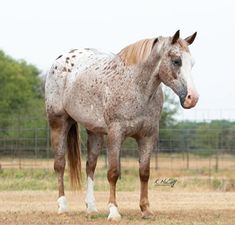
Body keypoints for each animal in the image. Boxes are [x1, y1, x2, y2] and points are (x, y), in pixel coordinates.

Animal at [44, 30, 198, 221]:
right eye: (176, 61)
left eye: (192, 63)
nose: (192, 98)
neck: (136, 87)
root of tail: (60, 59)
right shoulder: (115, 134)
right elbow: (113, 173)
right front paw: (113, 211)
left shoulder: (148, 136)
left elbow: (144, 172)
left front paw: (146, 210)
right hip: (58, 123)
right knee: (59, 164)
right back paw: (63, 207)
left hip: (94, 132)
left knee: (90, 166)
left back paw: (91, 208)